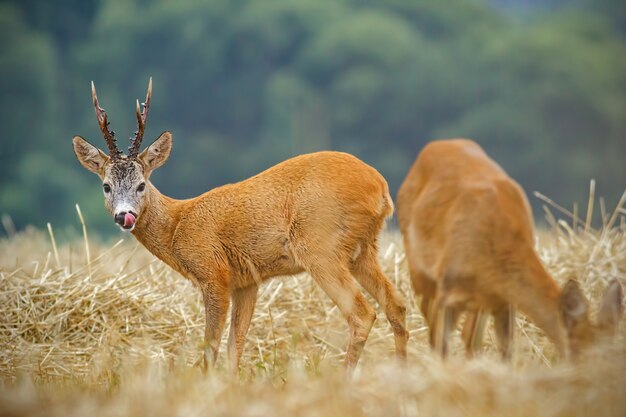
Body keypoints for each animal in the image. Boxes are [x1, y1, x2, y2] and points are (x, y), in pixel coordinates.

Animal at [73, 78, 408, 370]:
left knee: (363, 314)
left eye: (141, 184)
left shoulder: (214, 273)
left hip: (320, 246)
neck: (177, 224)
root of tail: (380, 188)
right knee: (396, 304)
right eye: (106, 186)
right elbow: (236, 347)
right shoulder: (246, 282)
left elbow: (211, 347)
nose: (124, 216)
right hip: (362, 249)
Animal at [394, 139, 620, 358]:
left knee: (469, 338)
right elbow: (442, 349)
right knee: (433, 328)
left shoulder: (505, 302)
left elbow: (506, 353)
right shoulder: (447, 292)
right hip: (421, 276)